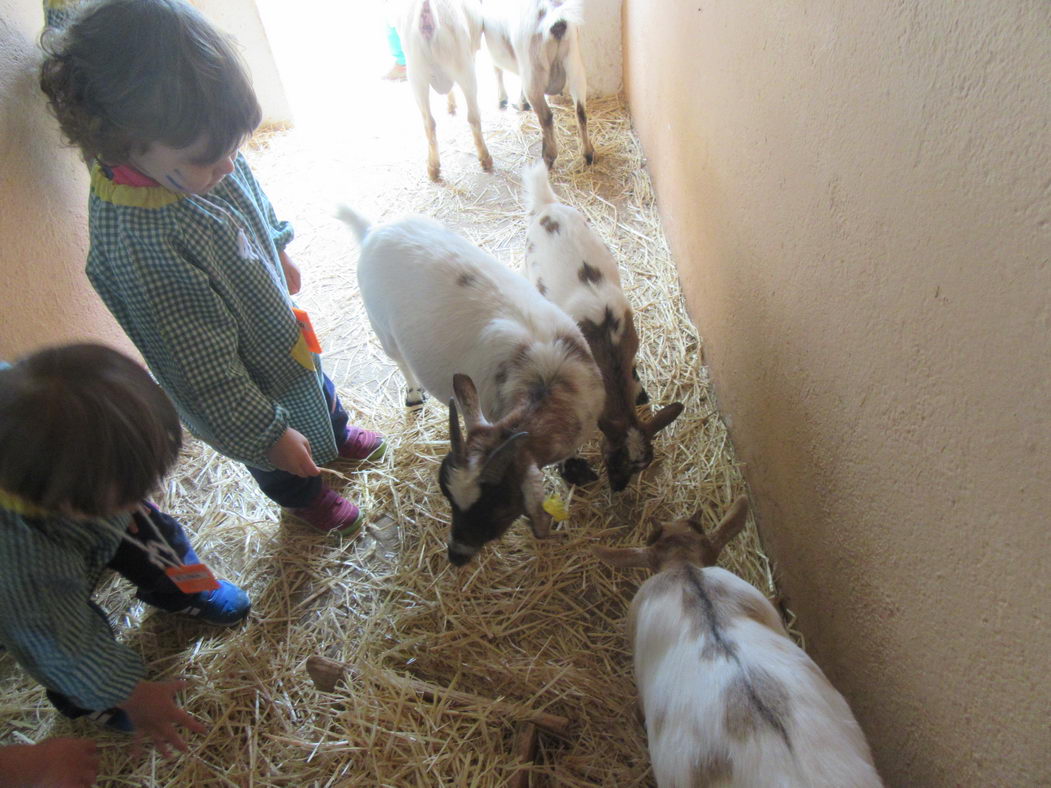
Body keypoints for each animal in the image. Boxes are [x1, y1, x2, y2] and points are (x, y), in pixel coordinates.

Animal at [334, 206, 601, 567]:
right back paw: (414, 396)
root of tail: (374, 230)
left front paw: (574, 468)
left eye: (499, 505)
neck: (547, 380)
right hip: (382, 329)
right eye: (447, 495)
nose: (456, 555)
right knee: (400, 360)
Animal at [397, 0, 491, 180]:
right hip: (465, 69)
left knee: (428, 123)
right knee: (473, 116)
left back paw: (433, 167)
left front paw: (450, 104)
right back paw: (486, 158)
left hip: (416, 77)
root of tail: (427, 22)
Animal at [481, 0, 596, 171]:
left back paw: (548, 157)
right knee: (580, 111)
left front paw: (504, 100)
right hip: (574, 62)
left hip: (534, 67)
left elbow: (496, 69)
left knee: (546, 116)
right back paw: (588, 153)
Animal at [523, 162, 685, 491]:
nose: (618, 488)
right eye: (611, 458)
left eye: (641, 466)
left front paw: (640, 393)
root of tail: (546, 206)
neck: (608, 350)